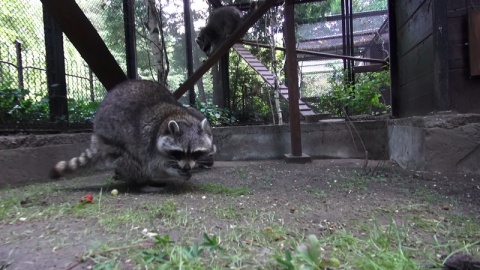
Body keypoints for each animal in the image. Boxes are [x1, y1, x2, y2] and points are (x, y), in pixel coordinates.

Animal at [49, 79, 217, 186]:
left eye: (195, 153)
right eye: (179, 152)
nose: (187, 168)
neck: (176, 116)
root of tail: (97, 132)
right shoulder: (149, 140)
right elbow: (155, 165)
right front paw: (171, 170)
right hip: (114, 139)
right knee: (133, 162)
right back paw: (143, 181)